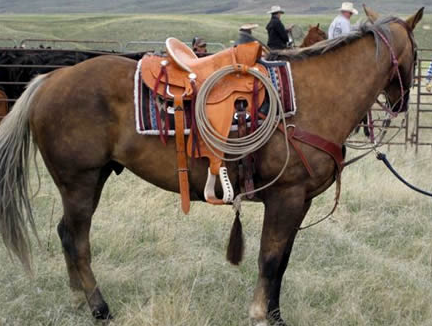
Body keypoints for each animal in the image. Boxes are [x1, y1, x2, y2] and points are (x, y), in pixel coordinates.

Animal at [0, 7, 422, 326]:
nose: (402, 103)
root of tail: (49, 79)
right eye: (417, 54)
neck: (313, 97)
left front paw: (275, 314)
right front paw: (261, 314)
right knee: (77, 239)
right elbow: (270, 258)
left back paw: (78, 301)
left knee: (66, 234)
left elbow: (282, 261)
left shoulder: (299, 201)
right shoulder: (286, 197)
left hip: (91, 178)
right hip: (79, 182)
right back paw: (100, 308)